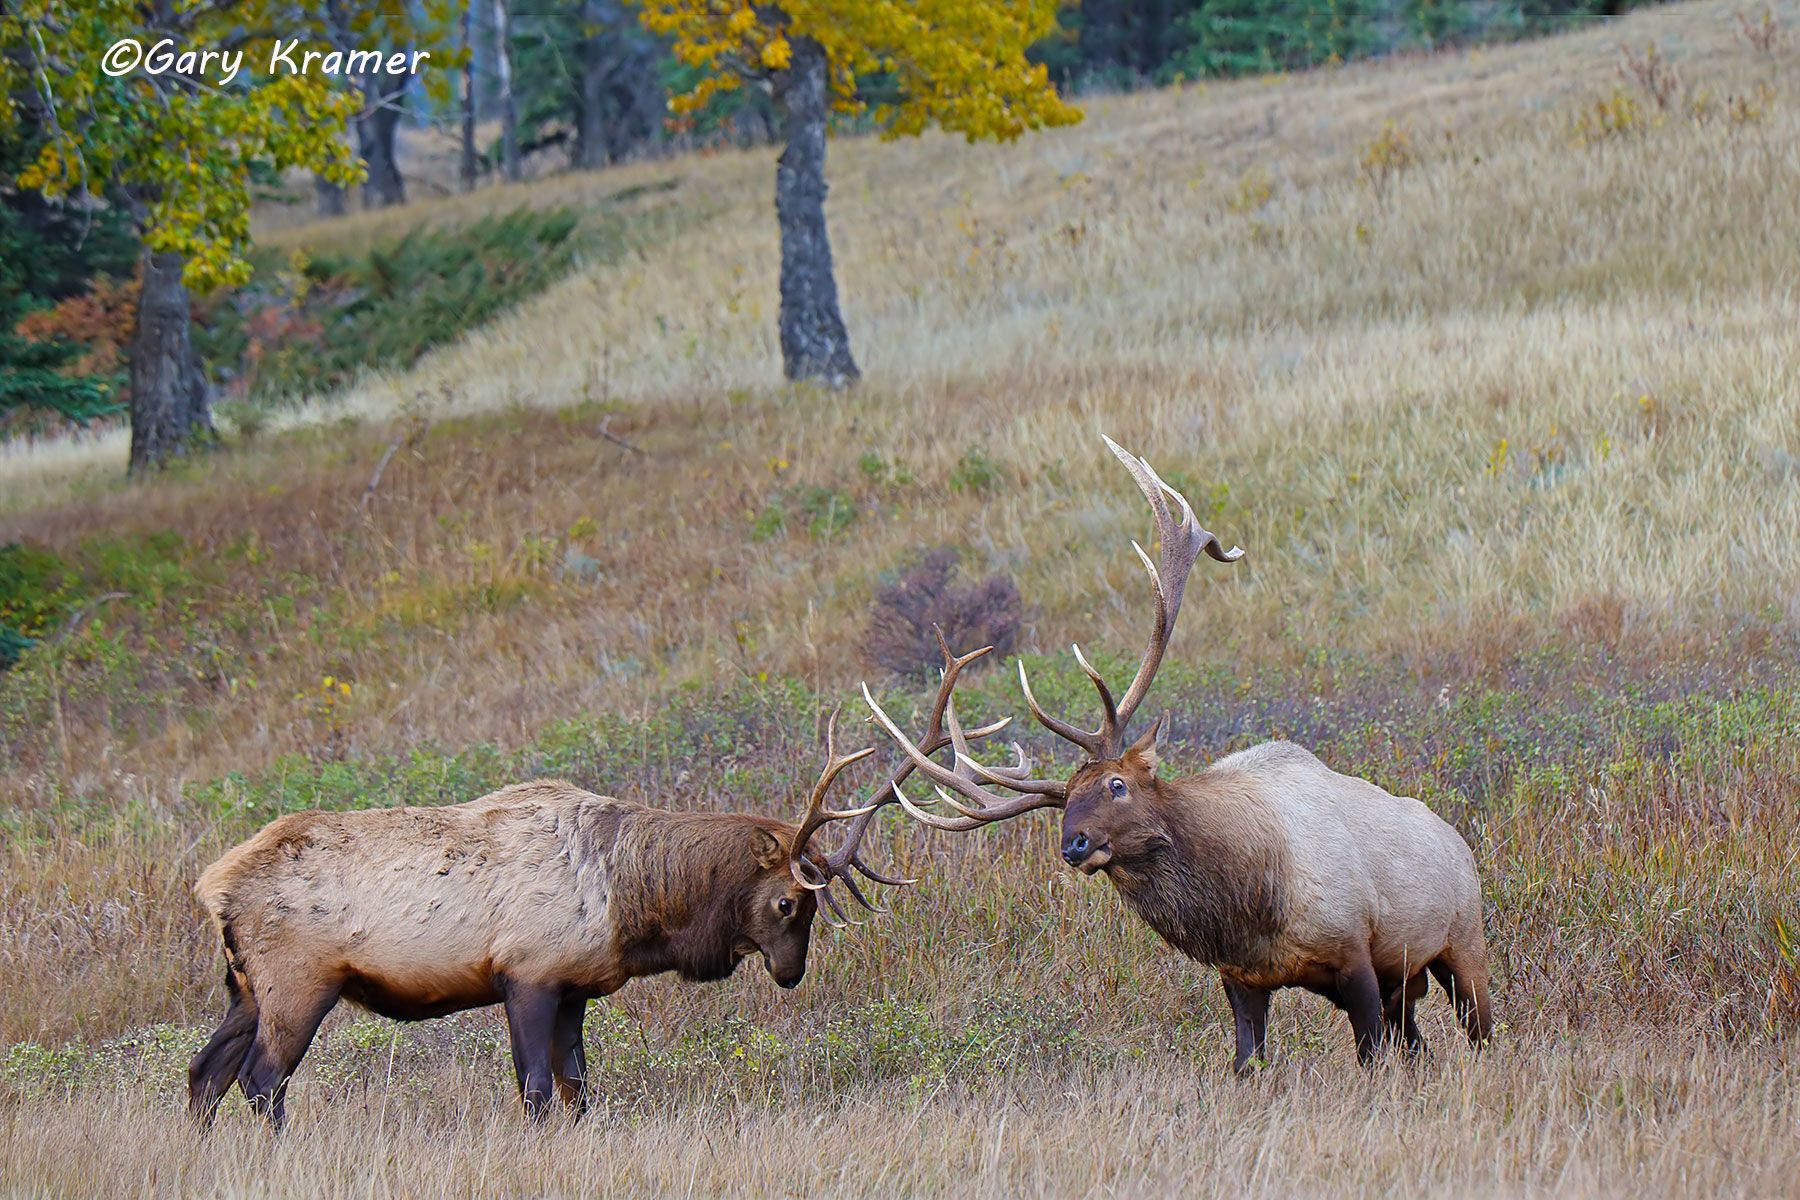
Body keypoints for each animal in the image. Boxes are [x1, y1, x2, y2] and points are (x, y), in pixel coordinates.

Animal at [186, 682, 1007, 1129]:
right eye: (785, 905)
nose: (790, 974)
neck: (632, 903)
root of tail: (213, 884)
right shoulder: (525, 974)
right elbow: (535, 1092)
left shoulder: (575, 986)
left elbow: (579, 1091)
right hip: (298, 983)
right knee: (260, 1083)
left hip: (244, 989)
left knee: (202, 1077)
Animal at [862, 436, 1493, 1072]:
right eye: (1063, 803)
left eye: (1117, 784)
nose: (1074, 845)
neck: (1251, 903)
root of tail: (1459, 842)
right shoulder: (1242, 978)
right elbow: (1246, 1065)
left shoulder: (1354, 951)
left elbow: (1370, 1058)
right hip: (1406, 982)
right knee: (1420, 1041)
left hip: (1462, 941)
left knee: (1482, 1031)